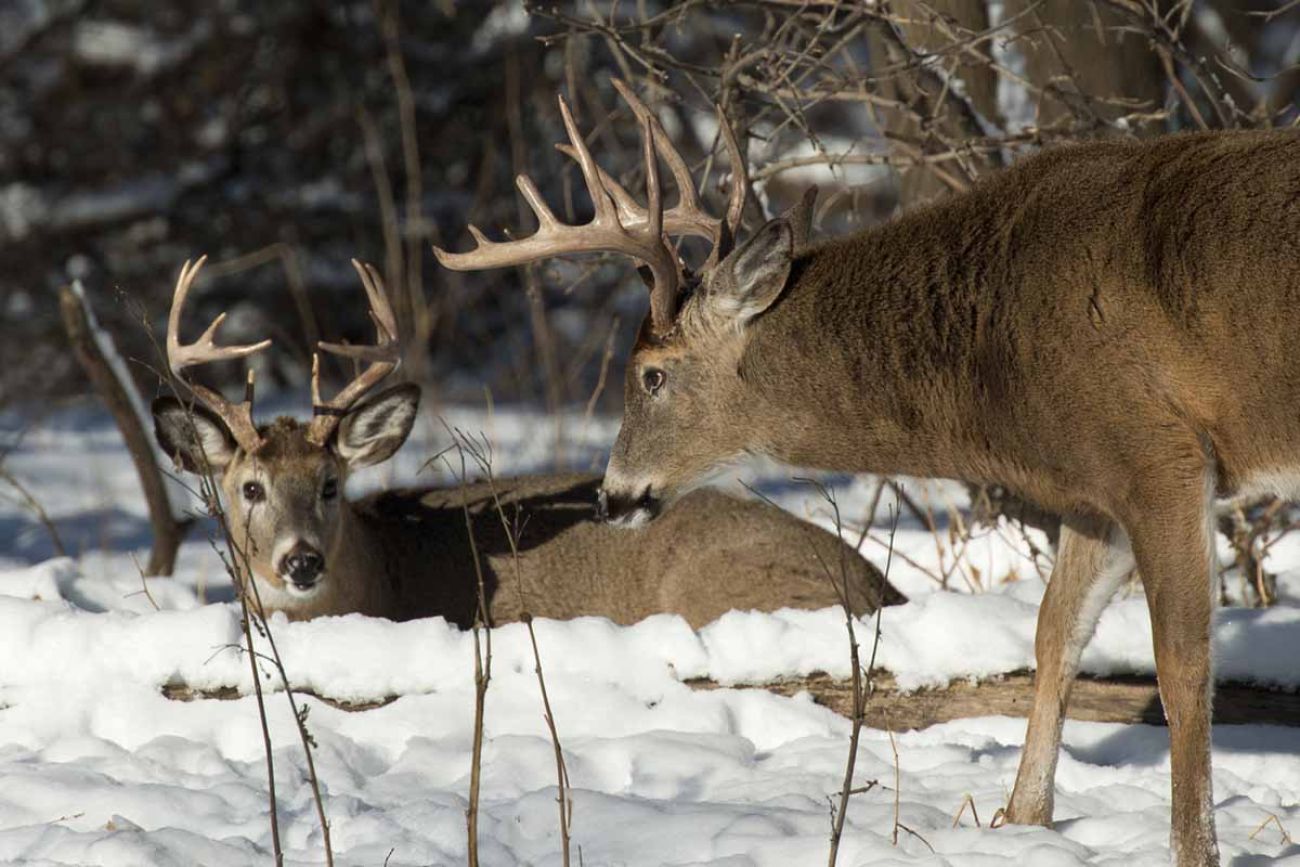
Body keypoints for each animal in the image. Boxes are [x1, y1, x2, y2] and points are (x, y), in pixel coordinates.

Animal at [428, 79, 1300, 863]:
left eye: (651, 375)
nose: (613, 496)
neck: (1000, 358)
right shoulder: (1098, 491)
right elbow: (1055, 633)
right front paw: (1019, 821)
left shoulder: (1160, 454)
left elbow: (1182, 665)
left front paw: (1194, 849)